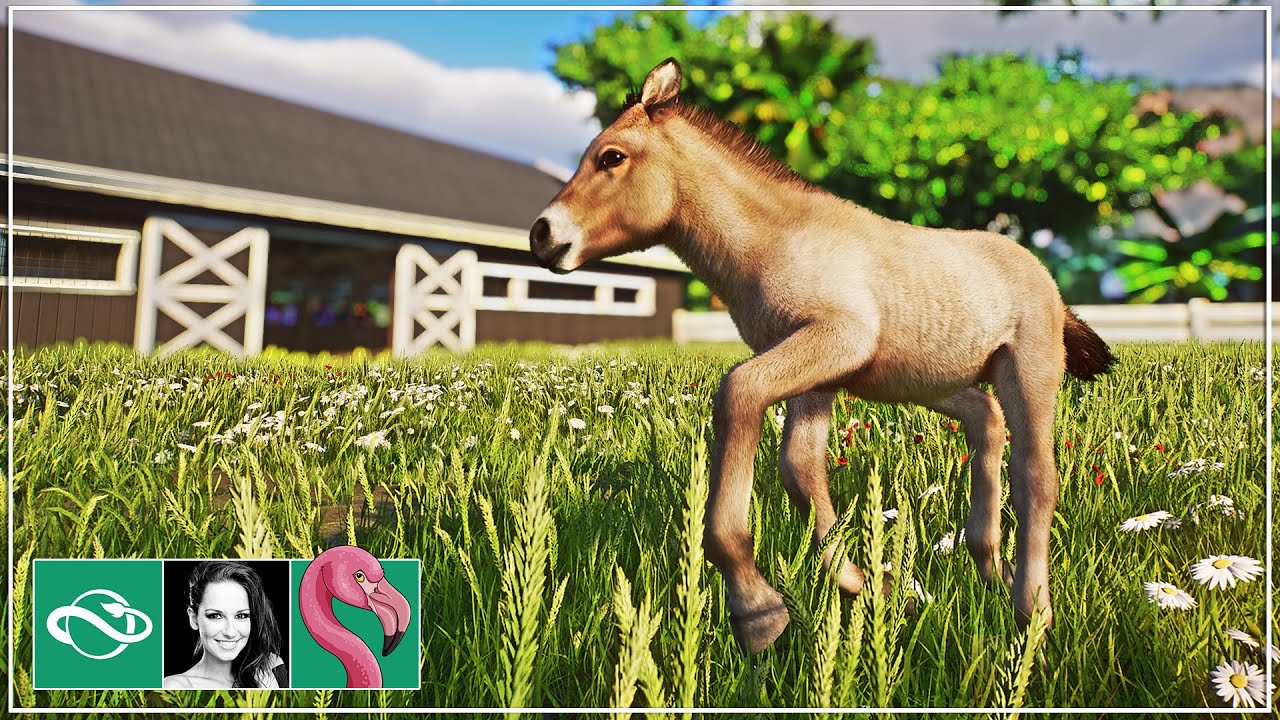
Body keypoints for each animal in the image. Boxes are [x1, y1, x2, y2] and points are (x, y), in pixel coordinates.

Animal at [529, 58, 1115, 654]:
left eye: (611, 157)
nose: (541, 235)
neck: (776, 238)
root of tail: (1045, 278)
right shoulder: (816, 376)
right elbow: (800, 469)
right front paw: (871, 585)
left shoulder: (838, 340)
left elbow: (738, 393)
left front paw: (757, 610)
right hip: (936, 382)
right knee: (987, 422)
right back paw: (990, 571)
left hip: (1029, 370)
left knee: (1037, 474)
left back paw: (1032, 612)